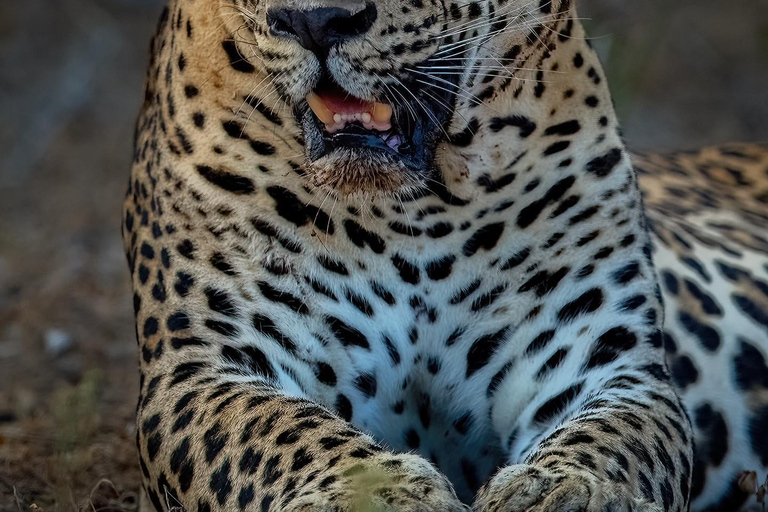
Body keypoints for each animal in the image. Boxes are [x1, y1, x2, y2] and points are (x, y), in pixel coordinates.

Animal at [121, 0, 768, 510]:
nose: (315, 21)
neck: (410, 216)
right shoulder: (201, 367)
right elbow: (280, 430)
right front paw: (379, 496)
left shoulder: (608, 361)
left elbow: (611, 442)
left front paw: (564, 493)